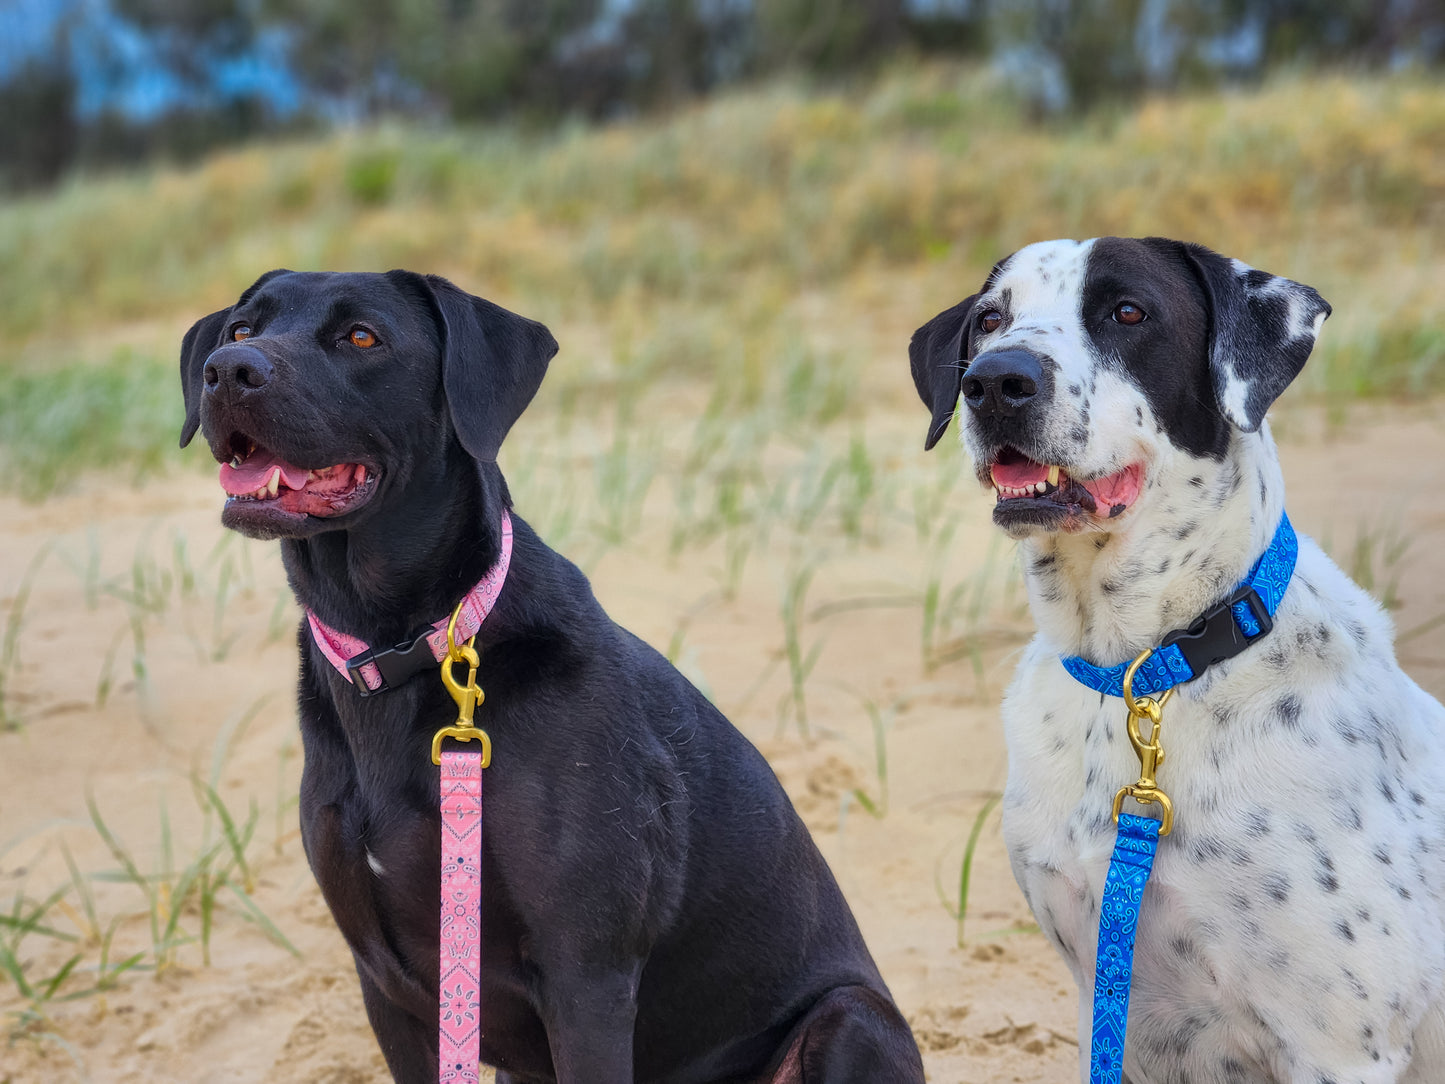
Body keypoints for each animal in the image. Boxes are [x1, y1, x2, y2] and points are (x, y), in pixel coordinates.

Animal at [180, 267, 924, 1081]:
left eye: (361, 337)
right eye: (242, 330)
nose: (227, 371)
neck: (398, 644)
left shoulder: (586, 975)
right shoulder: (386, 984)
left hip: (851, 1018)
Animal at [907, 237, 1445, 1084]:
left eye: (1127, 312)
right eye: (990, 319)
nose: (993, 381)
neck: (1142, 669)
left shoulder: (1339, 1048)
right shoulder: (1112, 1012)